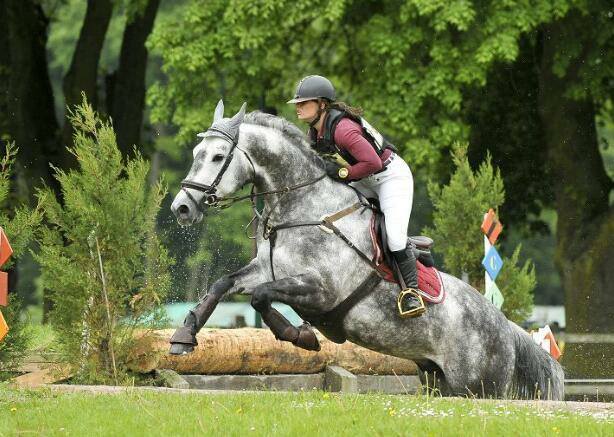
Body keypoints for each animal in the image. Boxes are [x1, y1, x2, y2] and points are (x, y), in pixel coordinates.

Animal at [166, 101, 564, 398]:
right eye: (196, 152)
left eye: (218, 157)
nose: (181, 208)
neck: (303, 208)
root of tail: (507, 327)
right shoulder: (267, 270)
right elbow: (222, 285)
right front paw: (183, 338)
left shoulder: (322, 290)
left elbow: (261, 297)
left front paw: (302, 337)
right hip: (437, 380)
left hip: (480, 386)